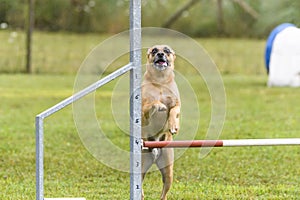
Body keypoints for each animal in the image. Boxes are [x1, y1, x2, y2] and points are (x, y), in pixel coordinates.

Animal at [141, 45, 180, 200]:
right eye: (154, 51)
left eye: (167, 51)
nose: (160, 54)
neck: (160, 81)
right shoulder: (143, 107)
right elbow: (153, 103)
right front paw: (159, 105)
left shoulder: (177, 104)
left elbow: (173, 111)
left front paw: (174, 126)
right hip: (142, 165)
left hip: (168, 170)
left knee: (164, 192)